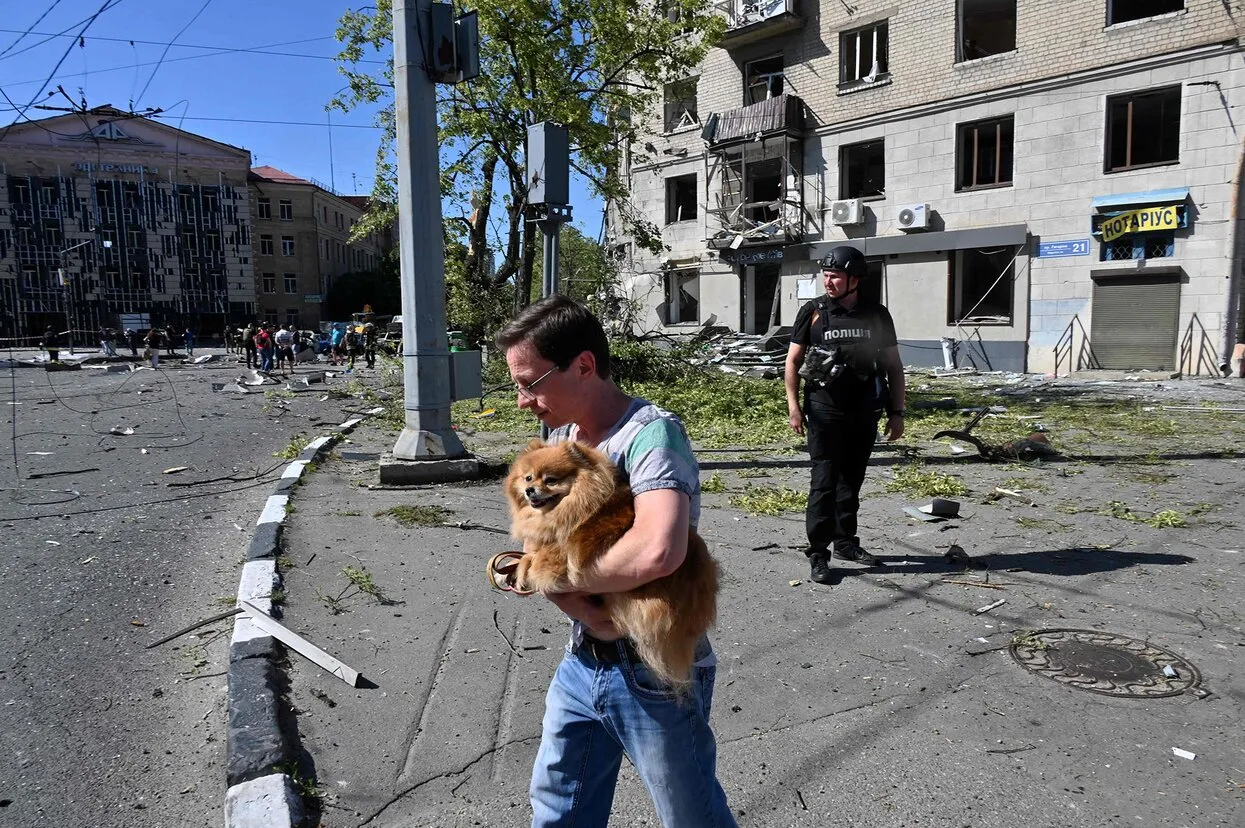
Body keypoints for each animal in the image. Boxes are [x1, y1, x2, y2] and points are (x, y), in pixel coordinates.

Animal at [505, 438, 722, 682]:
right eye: (528, 477)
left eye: (551, 480)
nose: (529, 490)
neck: (575, 505)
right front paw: (517, 565)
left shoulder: (566, 551)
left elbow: (543, 558)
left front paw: (527, 569)